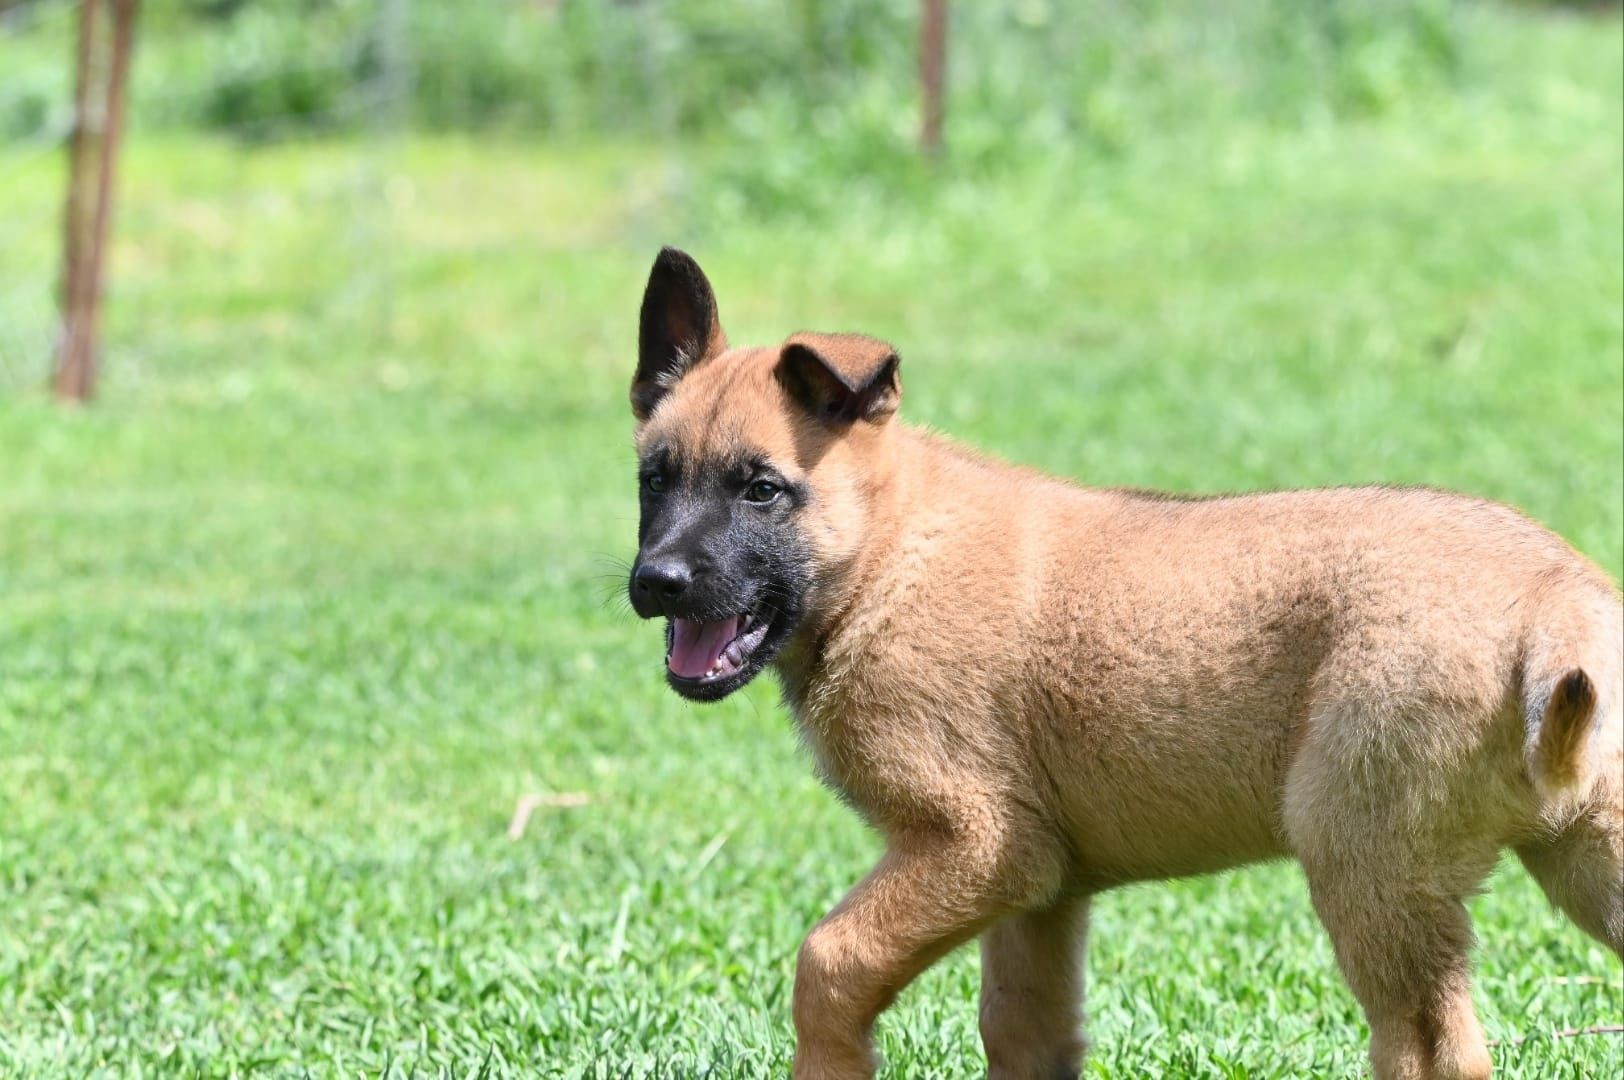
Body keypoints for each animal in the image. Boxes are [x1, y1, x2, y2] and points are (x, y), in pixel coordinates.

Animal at [623, 246, 1624, 1078]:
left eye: (761, 490)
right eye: (652, 480)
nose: (654, 581)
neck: (889, 556)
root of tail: (1557, 598)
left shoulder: (977, 843)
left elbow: (828, 963)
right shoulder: (1039, 893)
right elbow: (1023, 1033)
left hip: (1367, 865)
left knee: (1430, 1051)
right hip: (1586, 855)